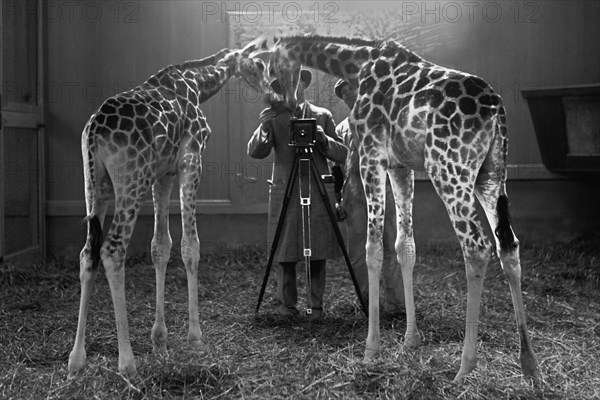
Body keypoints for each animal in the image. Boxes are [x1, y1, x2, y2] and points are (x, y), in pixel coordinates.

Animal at [68, 39, 274, 378]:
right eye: (258, 63)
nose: (272, 90)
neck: (197, 84)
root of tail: (94, 131)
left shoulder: (163, 174)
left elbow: (160, 246)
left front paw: (160, 342)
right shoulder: (191, 159)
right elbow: (190, 245)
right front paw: (195, 339)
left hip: (94, 186)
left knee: (88, 252)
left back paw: (76, 359)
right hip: (131, 182)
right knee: (112, 250)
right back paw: (127, 363)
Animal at [254, 33, 540, 378]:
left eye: (279, 63)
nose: (279, 98)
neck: (355, 63)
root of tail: (497, 112)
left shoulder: (371, 157)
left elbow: (373, 249)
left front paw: (371, 350)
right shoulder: (400, 166)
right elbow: (405, 246)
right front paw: (410, 341)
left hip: (450, 169)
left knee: (477, 245)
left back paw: (465, 368)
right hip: (493, 175)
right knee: (508, 245)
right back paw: (529, 364)